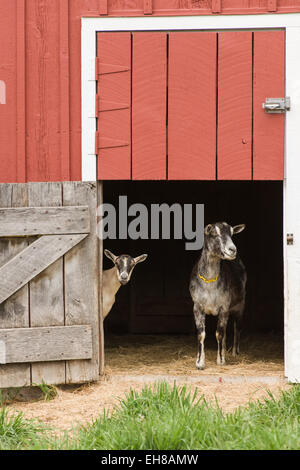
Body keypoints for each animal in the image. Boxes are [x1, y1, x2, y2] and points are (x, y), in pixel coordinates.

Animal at [190, 222, 246, 370]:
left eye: (232, 233)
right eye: (214, 233)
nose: (232, 250)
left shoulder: (224, 306)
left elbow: (219, 334)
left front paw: (220, 360)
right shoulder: (197, 306)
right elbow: (201, 334)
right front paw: (200, 362)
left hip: (240, 305)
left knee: (237, 327)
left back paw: (234, 353)